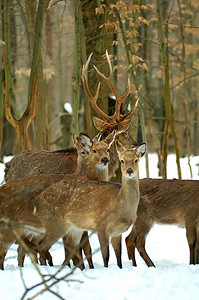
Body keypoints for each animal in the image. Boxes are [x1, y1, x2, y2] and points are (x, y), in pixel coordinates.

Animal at [0, 140, 146, 270]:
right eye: (122, 160)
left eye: (136, 160)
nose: (129, 171)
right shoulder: (101, 225)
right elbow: (104, 255)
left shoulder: (116, 232)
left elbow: (118, 256)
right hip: (43, 225)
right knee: (33, 247)